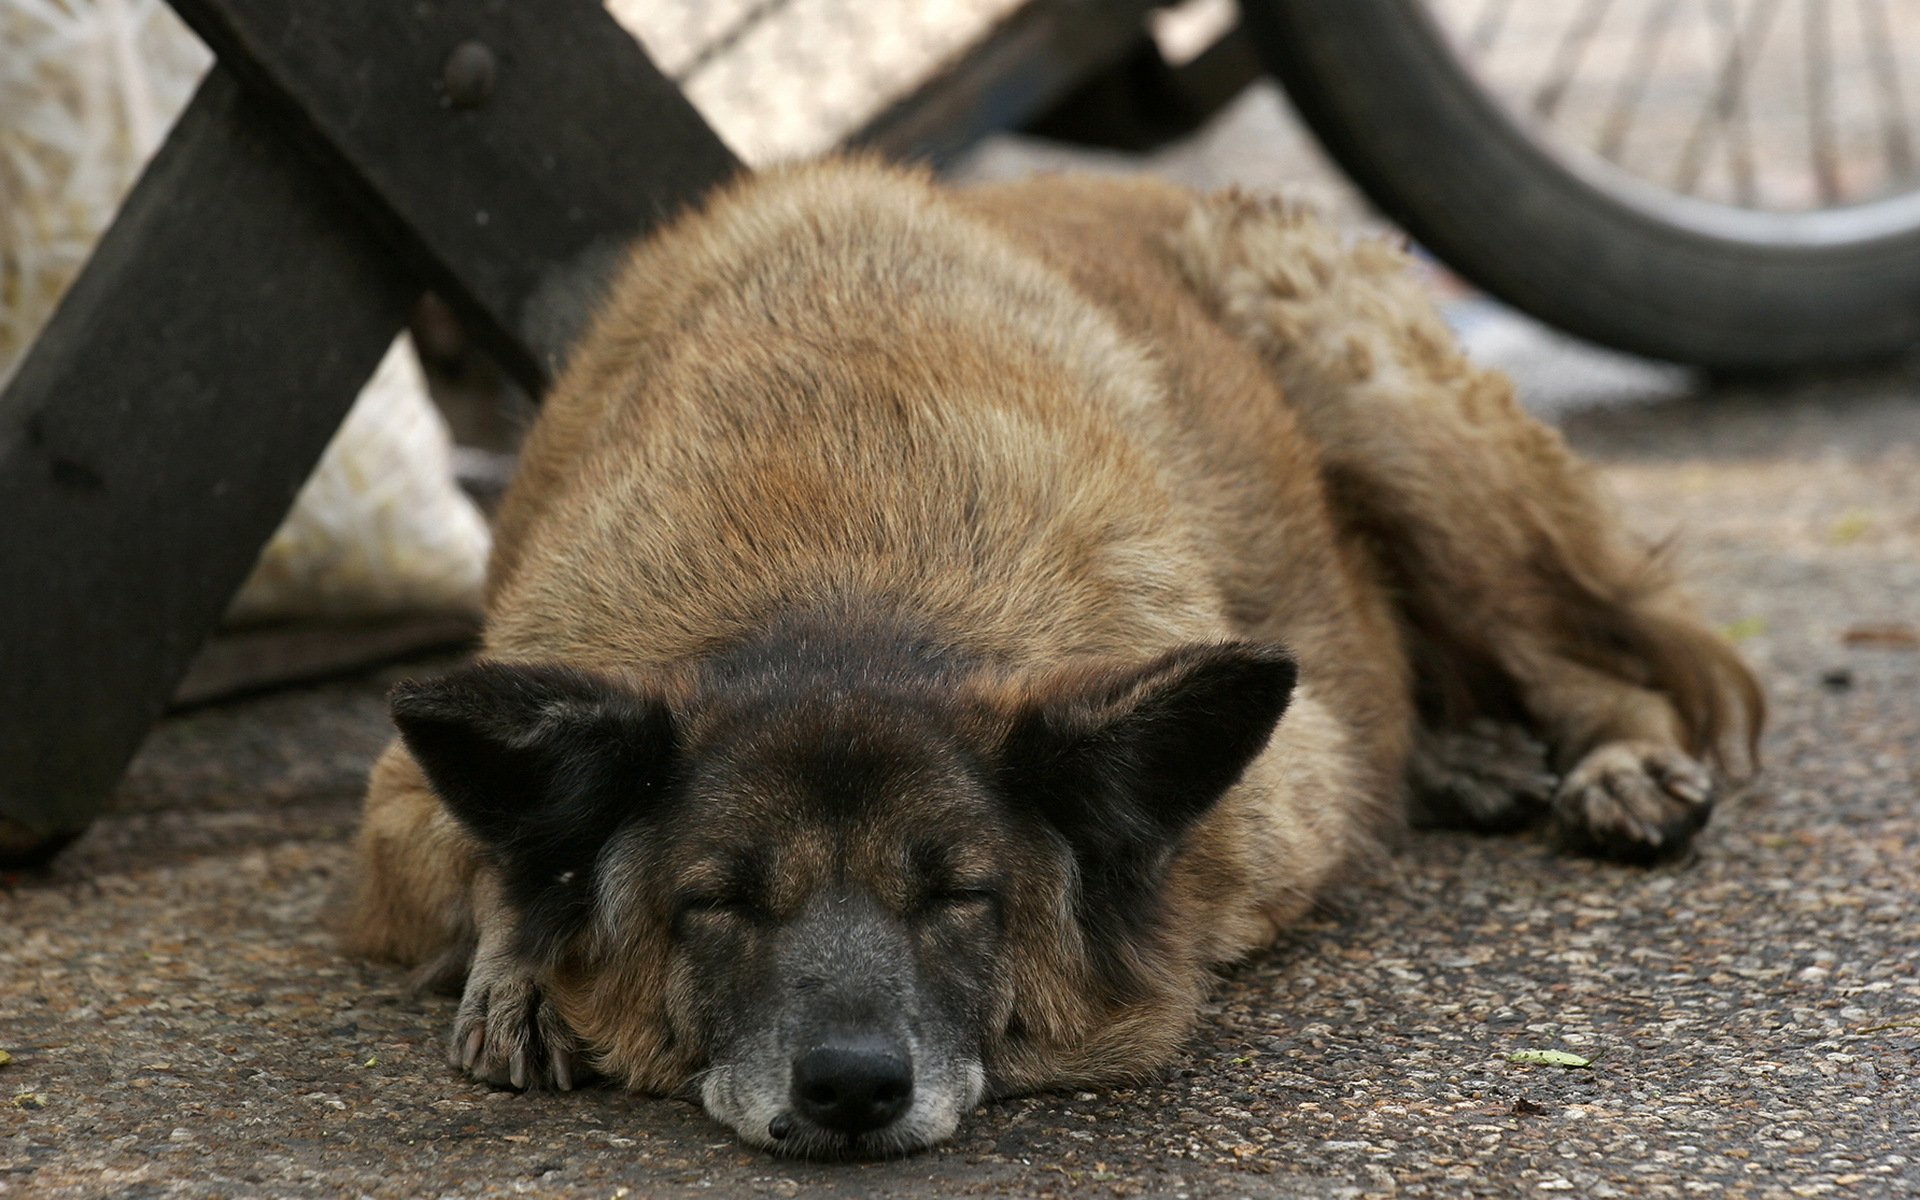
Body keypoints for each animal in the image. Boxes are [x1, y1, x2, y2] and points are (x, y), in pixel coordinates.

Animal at [345, 156, 1758, 1152]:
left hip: (1392, 414)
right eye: (719, 904)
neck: (837, 574)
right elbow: (475, 853)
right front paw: (522, 963)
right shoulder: (410, 782)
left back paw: (1614, 764)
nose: (851, 1090)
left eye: (962, 896)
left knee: (1589, 659)